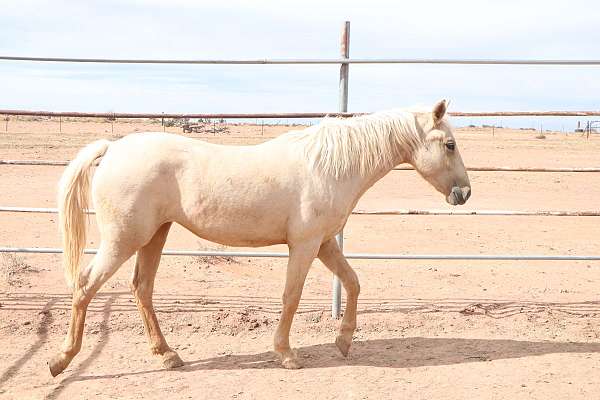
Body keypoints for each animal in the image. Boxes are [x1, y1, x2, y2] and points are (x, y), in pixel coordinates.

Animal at [49, 99, 468, 376]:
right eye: (449, 145)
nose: (464, 193)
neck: (328, 167)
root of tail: (112, 149)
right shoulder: (304, 246)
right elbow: (291, 297)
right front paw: (287, 355)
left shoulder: (324, 244)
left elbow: (352, 282)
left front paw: (344, 342)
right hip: (124, 239)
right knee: (85, 285)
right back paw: (61, 360)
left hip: (154, 235)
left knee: (141, 288)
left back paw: (168, 356)